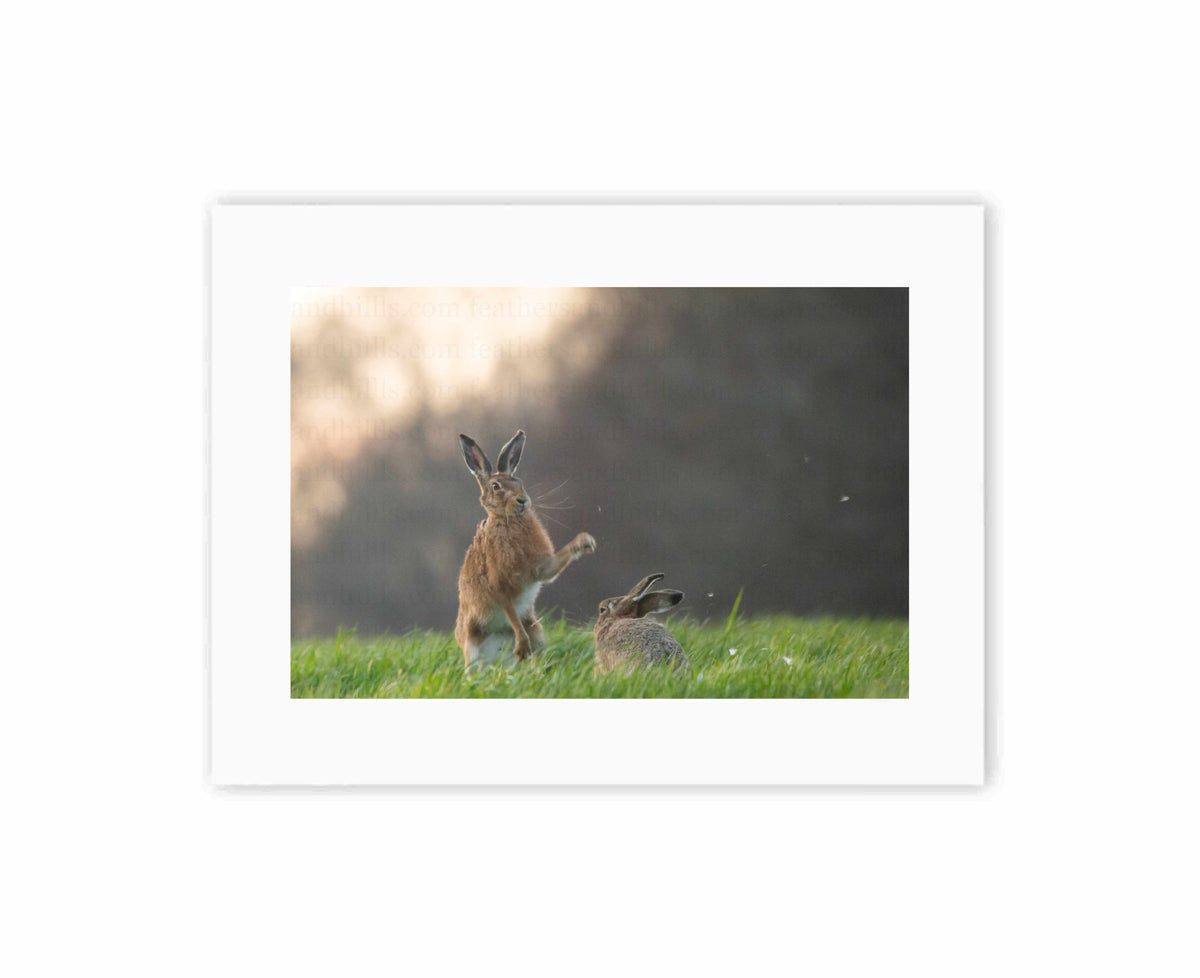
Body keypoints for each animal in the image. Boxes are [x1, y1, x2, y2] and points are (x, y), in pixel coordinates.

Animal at [454, 429, 596, 670]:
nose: (523, 501)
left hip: (537, 630)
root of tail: (497, 660)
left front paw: (586, 542)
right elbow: (511, 612)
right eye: (496, 486)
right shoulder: (498, 583)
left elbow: (556, 564)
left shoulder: (540, 567)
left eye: (519, 482)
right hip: (472, 645)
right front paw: (521, 644)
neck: (510, 521)